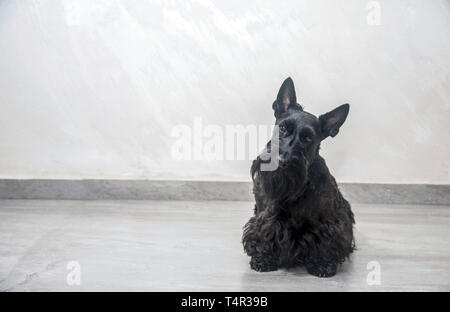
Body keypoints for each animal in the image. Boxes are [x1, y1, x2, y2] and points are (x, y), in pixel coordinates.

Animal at [243, 77, 356, 276]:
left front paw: (323, 264)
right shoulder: (267, 217)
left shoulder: (328, 224)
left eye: (308, 138)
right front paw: (263, 258)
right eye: (282, 127)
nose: (281, 161)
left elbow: (327, 242)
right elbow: (263, 231)